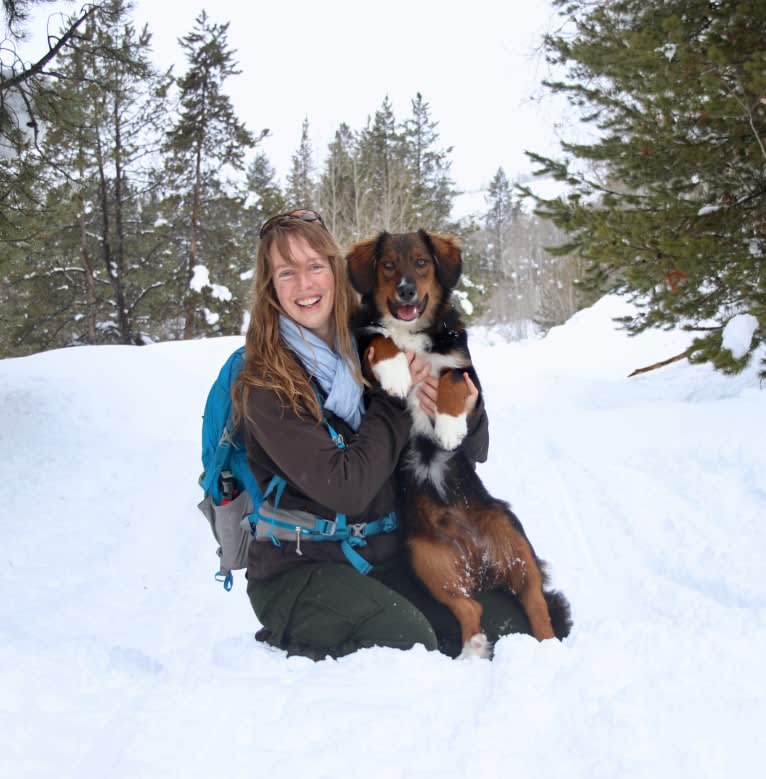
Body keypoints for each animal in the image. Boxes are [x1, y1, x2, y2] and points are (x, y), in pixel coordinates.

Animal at [346, 230, 568, 660]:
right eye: (387, 265)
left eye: (421, 262)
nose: (406, 292)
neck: (412, 333)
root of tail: (473, 550)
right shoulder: (363, 376)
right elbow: (381, 340)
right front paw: (396, 373)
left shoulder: (466, 373)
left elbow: (448, 379)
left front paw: (449, 429)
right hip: (427, 558)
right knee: (470, 606)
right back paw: (472, 648)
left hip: (511, 535)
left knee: (534, 599)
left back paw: (545, 650)